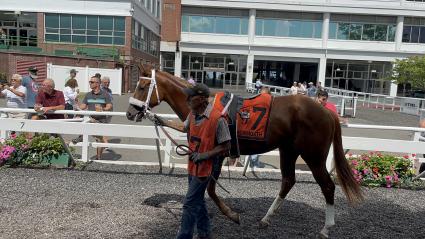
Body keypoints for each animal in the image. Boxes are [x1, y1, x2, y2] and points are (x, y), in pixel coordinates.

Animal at [126, 68, 362, 237]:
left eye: (142, 86)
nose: (129, 113)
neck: (206, 108)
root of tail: (326, 113)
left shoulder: (217, 154)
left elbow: (211, 189)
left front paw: (232, 215)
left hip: (313, 156)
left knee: (328, 186)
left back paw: (326, 228)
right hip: (288, 150)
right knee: (288, 181)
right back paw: (266, 219)